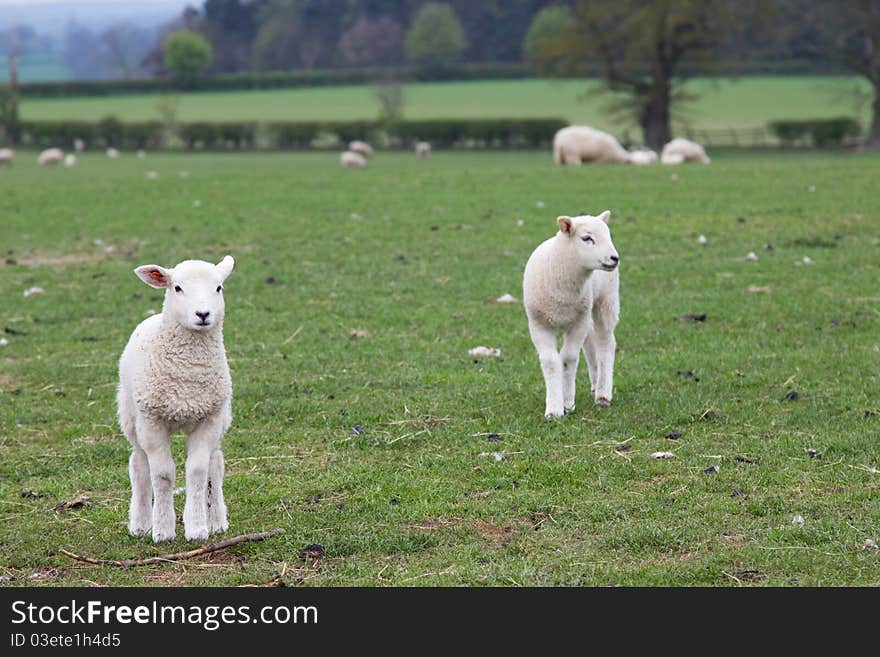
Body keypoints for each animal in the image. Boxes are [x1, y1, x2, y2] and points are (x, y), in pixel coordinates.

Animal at [120, 254, 239, 540]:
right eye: (177, 288)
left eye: (218, 287)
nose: (203, 314)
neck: (188, 378)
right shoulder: (152, 421)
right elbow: (163, 474)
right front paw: (163, 530)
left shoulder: (209, 418)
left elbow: (197, 471)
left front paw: (197, 527)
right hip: (131, 416)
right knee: (139, 464)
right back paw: (140, 523)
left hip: (221, 417)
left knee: (215, 464)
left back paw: (216, 520)